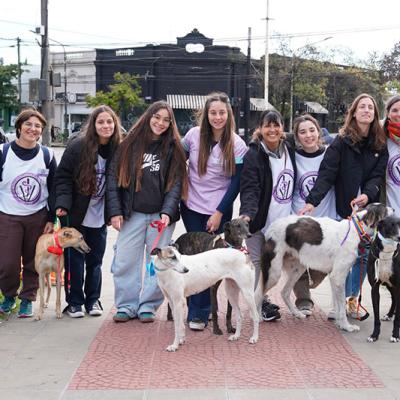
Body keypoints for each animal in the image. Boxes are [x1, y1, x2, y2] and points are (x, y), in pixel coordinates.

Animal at [258, 203, 392, 332]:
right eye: (385, 210)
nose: (394, 209)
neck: (355, 230)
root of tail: (271, 227)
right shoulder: (338, 277)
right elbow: (341, 306)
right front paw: (347, 326)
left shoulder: (334, 277)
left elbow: (338, 305)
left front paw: (340, 324)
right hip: (274, 273)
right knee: (258, 294)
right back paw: (259, 317)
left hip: (298, 269)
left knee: (284, 292)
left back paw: (297, 314)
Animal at [368, 216, 400, 344]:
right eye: (391, 225)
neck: (387, 253)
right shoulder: (374, 287)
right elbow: (376, 317)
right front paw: (374, 335)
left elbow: (397, 319)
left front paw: (395, 335)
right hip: (389, 285)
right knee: (394, 299)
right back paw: (389, 314)